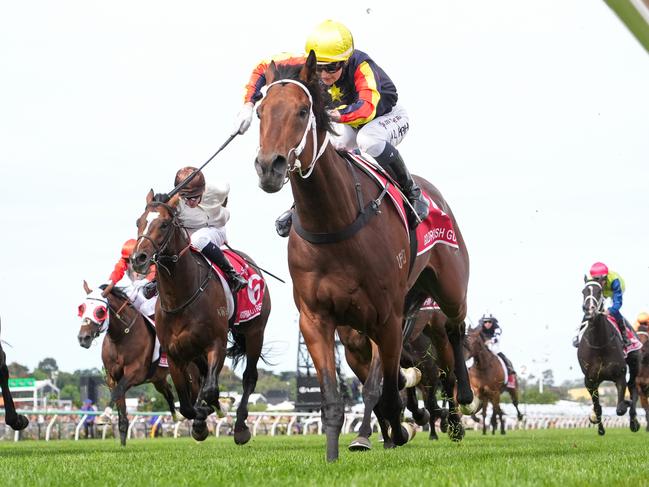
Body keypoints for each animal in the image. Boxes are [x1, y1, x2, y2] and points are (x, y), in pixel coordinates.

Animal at [77, 282, 181, 446]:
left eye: (100, 311)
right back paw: (178, 416)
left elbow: (117, 391)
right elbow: (119, 403)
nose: (83, 338)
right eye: (82, 308)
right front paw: (122, 444)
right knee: (168, 392)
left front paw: (105, 416)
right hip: (158, 378)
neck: (122, 336)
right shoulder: (112, 377)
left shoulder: (135, 373)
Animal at [133, 192, 270, 446]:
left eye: (164, 224)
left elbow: (209, 390)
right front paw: (200, 419)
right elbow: (187, 404)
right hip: (194, 350)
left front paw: (212, 411)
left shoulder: (216, 344)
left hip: (255, 331)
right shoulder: (175, 355)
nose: (139, 258)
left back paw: (240, 427)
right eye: (139, 222)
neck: (181, 296)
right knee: (203, 377)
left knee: (249, 377)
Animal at [253, 53, 470, 462]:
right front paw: (338, 451)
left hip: (449, 289)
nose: (269, 166)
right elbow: (335, 394)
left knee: (455, 331)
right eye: (260, 111)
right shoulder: (318, 320)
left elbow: (380, 389)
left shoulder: (384, 317)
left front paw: (389, 432)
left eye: (303, 110)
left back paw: (459, 405)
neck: (334, 221)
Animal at [576, 280, 636, 436]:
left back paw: (634, 422)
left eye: (599, 291)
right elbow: (597, 408)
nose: (589, 309)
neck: (599, 344)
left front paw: (626, 403)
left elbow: (621, 408)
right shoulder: (590, 380)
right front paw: (597, 424)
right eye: (583, 291)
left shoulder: (620, 376)